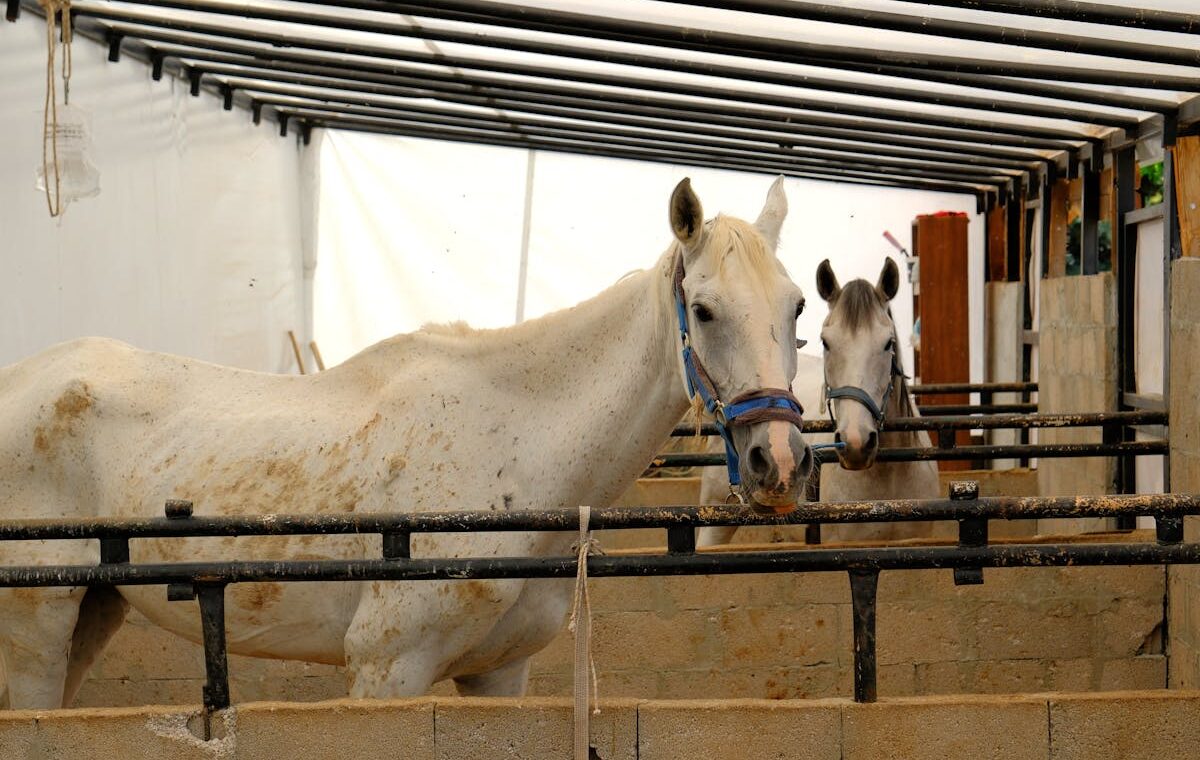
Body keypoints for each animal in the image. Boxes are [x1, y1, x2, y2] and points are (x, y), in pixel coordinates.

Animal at [0, 177, 813, 709]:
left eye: (798, 306)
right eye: (704, 311)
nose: (779, 461)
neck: (515, 446)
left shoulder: (498, 675)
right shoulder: (386, 671)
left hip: (91, 614)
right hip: (35, 632)